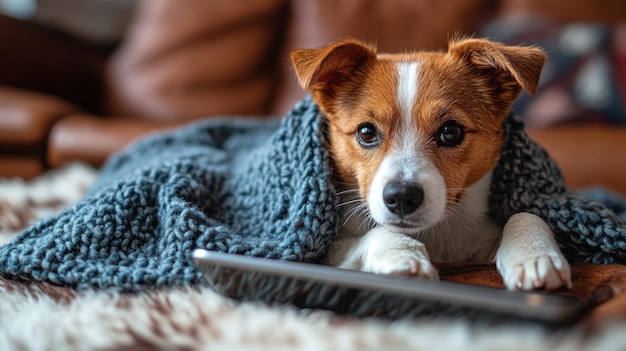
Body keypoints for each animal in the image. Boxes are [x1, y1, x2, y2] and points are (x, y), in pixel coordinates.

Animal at [288, 37, 572, 292]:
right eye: (366, 132)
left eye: (451, 131)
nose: (402, 196)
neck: (437, 234)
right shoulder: (329, 254)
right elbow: (376, 233)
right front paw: (402, 253)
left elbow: (523, 214)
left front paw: (534, 254)